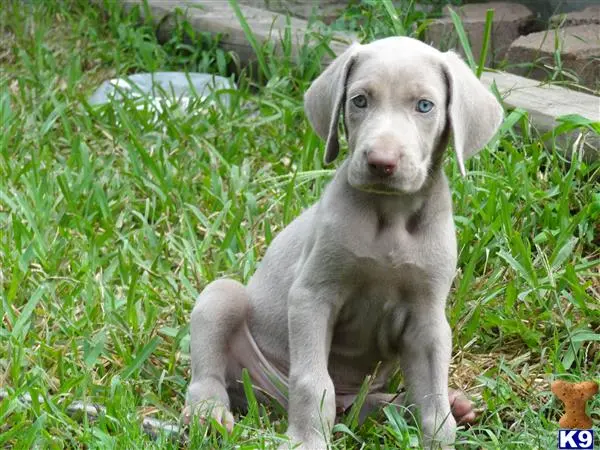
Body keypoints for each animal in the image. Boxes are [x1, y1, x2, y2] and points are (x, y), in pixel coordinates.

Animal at [183, 36, 502, 450]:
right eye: (360, 100)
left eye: (424, 106)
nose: (381, 162)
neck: (389, 217)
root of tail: (273, 401)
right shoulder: (312, 295)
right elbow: (313, 381)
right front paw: (307, 440)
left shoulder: (427, 316)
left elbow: (431, 394)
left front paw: (440, 436)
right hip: (224, 302)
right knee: (213, 362)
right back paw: (209, 413)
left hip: (361, 400)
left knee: (377, 407)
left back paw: (450, 406)